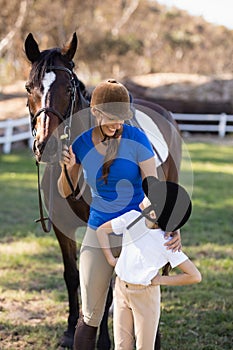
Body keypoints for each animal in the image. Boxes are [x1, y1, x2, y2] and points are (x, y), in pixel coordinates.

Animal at [25, 31, 182, 348]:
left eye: (68, 87)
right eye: (29, 88)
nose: (45, 146)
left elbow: (106, 283)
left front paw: (103, 341)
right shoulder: (62, 229)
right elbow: (72, 275)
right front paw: (70, 330)